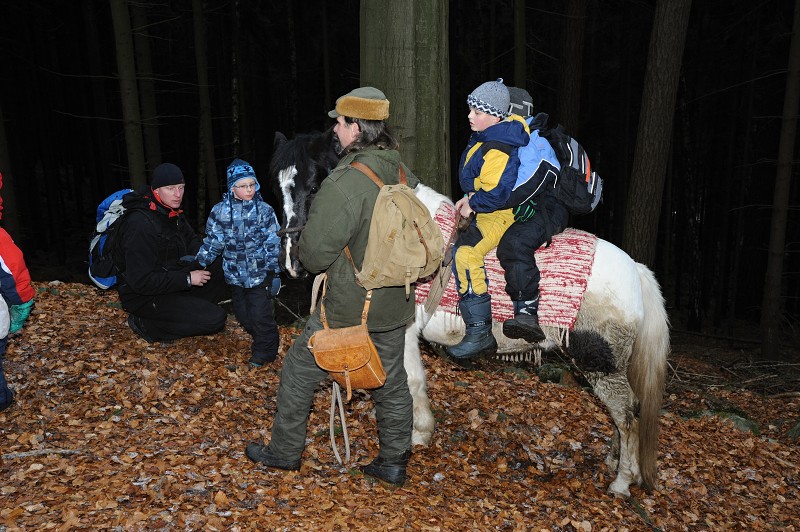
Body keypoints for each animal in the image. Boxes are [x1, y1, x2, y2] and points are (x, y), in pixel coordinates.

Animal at [268, 127, 668, 496]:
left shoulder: (404, 331)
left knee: (626, 412)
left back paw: (622, 481)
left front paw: (417, 435)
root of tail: (635, 270)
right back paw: (616, 462)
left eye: (315, 186)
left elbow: (411, 383)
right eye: (278, 188)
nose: (292, 263)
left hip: (600, 360)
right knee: (623, 413)